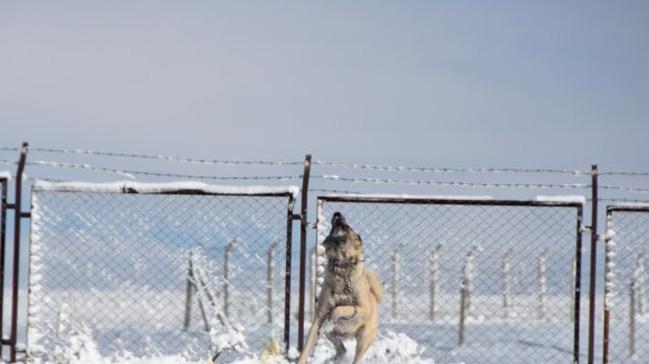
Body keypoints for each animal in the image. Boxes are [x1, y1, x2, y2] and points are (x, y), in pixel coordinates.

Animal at [296, 212, 382, 364]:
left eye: (347, 227)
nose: (337, 213)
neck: (341, 267)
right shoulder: (317, 321)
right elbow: (305, 350)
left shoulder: (363, 309)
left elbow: (340, 309)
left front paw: (331, 319)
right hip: (333, 336)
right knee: (342, 349)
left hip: (364, 338)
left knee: (355, 357)